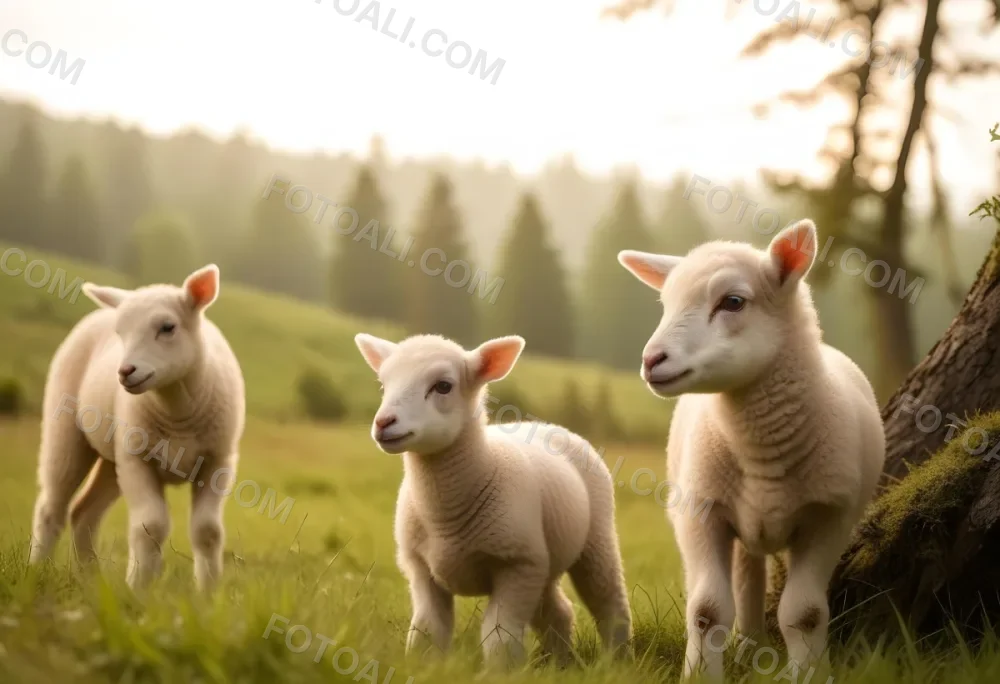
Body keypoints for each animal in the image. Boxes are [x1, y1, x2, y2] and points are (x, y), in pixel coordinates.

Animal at [28, 264, 246, 593]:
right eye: (120, 333)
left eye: (168, 327)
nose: (125, 371)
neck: (177, 411)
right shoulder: (137, 460)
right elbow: (150, 526)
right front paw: (139, 588)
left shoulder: (217, 461)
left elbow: (207, 531)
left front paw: (208, 594)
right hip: (66, 433)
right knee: (52, 506)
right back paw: (36, 571)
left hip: (113, 459)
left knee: (83, 512)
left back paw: (91, 579)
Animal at [353, 332, 632, 669]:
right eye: (384, 385)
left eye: (443, 386)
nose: (384, 423)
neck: (445, 517)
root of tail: (549, 426)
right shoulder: (421, 569)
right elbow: (427, 631)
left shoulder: (516, 565)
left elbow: (500, 638)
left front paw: (501, 672)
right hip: (542, 563)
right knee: (559, 611)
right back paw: (560, 661)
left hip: (594, 541)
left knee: (609, 604)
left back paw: (617, 660)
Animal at [617, 219, 885, 681]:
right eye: (666, 304)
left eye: (733, 302)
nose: (652, 360)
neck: (762, 451)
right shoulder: (699, 513)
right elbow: (706, 611)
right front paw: (700, 674)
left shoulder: (830, 517)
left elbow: (805, 613)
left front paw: (808, 673)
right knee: (746, 579)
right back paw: (748, 647)